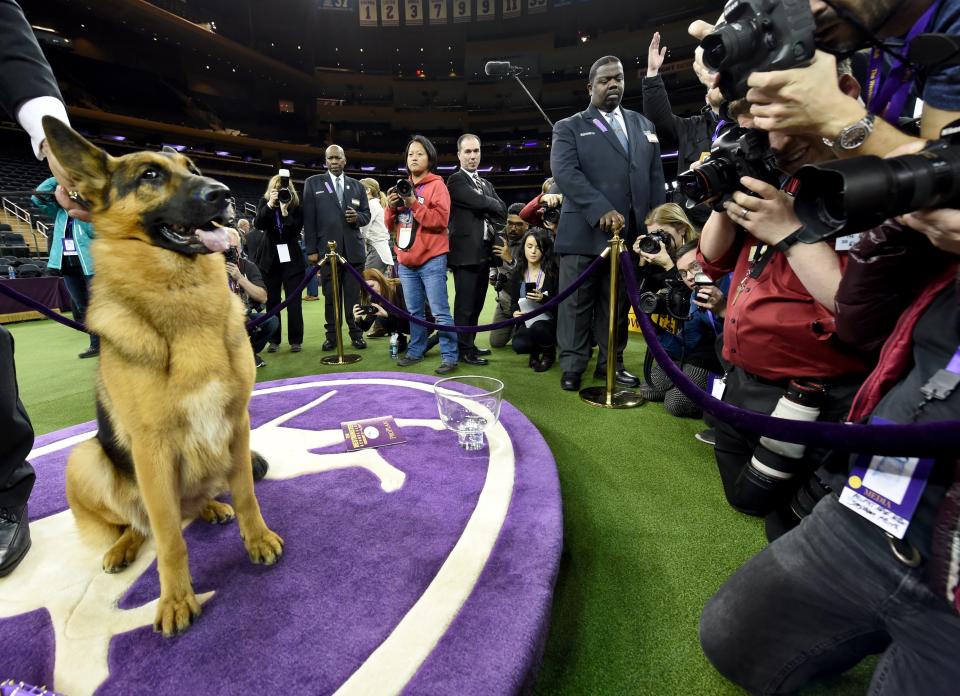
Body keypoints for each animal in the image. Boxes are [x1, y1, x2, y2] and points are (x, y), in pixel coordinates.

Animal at [43, 118, 284, 636]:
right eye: (150, 174)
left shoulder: (236, 423)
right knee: (141, 523)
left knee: (190, 503)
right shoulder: (151, 449)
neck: (183, 299)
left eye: (192, 166)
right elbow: (171, 538)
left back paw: (211, 506)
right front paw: (175, 598)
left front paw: (257, 539)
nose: (224, 193)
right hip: (86, 458)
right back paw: (122, 547)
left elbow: (247, 494)